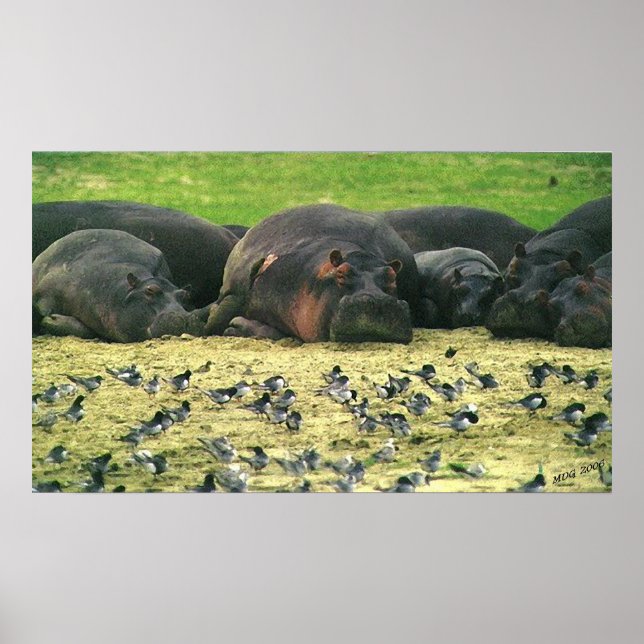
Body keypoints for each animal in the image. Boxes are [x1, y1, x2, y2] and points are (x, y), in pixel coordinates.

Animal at [204, 204, 420, 343]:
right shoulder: (236, 294)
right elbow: (215, 320)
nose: (379, 301)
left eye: (392, 277)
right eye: (341, 274)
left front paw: (236, 326)